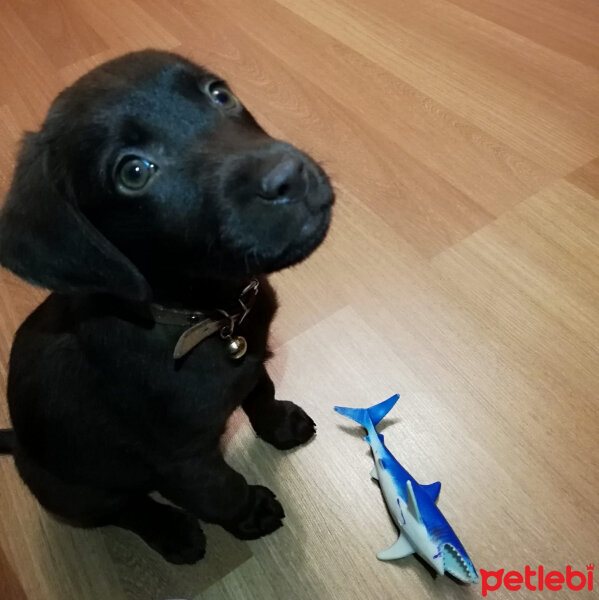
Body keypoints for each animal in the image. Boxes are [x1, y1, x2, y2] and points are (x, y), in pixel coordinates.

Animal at [0, 50, 332, 564]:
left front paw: (279, 422)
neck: (205, 314)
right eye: (134, 172)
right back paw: (171, 531)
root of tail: (15, 442)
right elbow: (221, 490)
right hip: (74, 491)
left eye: (220, 94)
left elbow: (261, 390)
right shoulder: (181, 459)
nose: (289, 177)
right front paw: (249, 513)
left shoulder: (252, 360)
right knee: (125, 508)